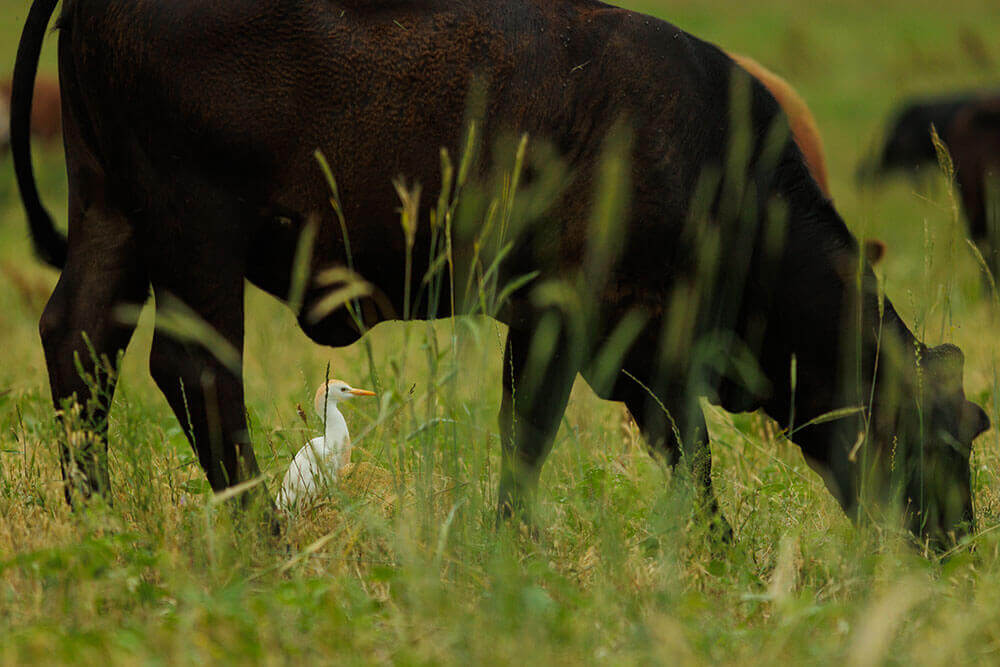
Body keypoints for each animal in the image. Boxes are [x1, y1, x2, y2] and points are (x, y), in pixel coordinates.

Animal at [11, 0, 988, 548]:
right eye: (935, 439)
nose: (953, 543)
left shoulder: (627, 342)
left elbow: (679, 451)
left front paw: (718, 552)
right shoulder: (573, 318)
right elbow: (542, 433)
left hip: (112, 216)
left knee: (79, 343)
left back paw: (97, 515)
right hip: (194, 236)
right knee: (194, 370)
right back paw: (260, 532)